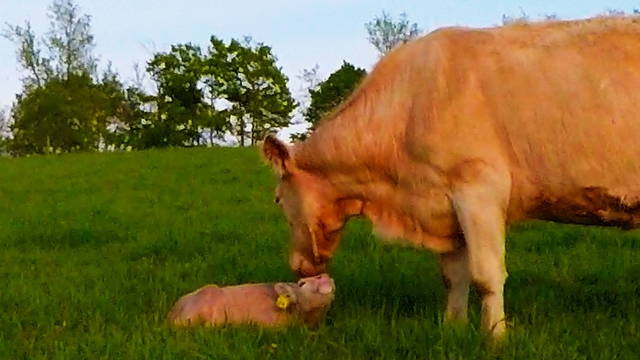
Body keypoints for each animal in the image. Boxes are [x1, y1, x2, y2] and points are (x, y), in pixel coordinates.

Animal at [258, 15, 640, 342]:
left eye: (277, 199)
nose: (297, 266)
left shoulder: (479, 189)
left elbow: (486, 275)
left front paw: (495, 337)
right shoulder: (444, 203)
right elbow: (453, 275)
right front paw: (452, 327)